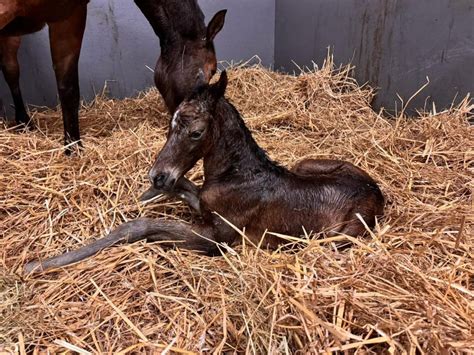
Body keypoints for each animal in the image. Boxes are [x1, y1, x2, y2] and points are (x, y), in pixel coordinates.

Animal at [24, 71, 386, 274]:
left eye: (196, 133)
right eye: (169, 126)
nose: (157, 174)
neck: (238, 176)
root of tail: (378, 193)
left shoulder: (218, 238)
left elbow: (143, 227)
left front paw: (38, 265)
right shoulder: (203, 203)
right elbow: (185, 189)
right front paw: (151, 192)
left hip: (343, 235)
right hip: (307, 164)